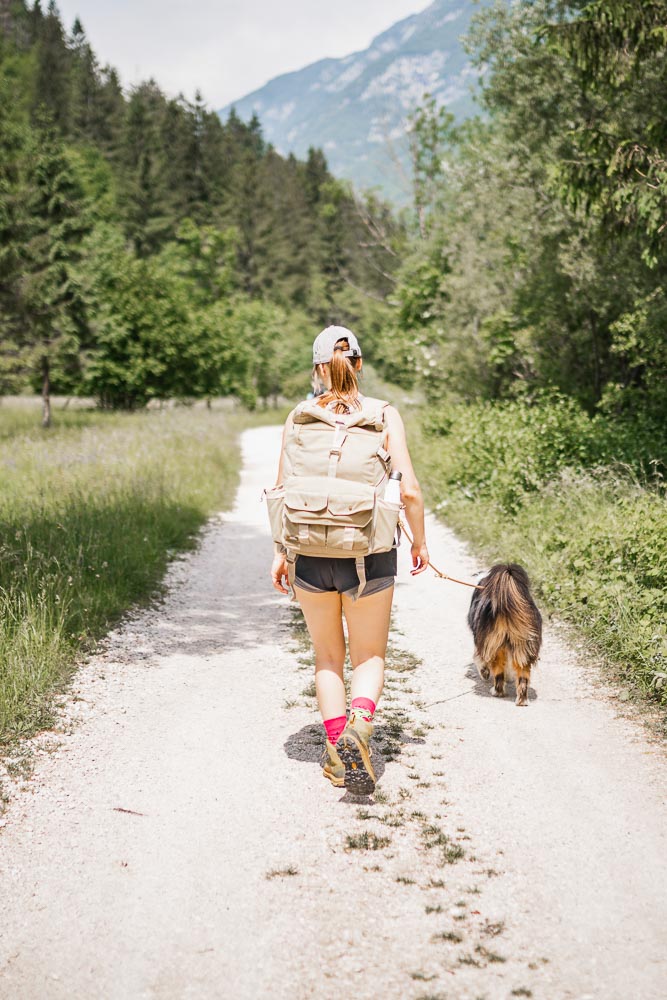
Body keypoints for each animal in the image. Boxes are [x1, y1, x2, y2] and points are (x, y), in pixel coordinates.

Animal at [470, 568, 544, 708]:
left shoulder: (481, 642)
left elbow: (479, 659)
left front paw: (484, 673)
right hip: (523, 645)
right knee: (523, 677)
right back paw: (522, 701)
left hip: (495, 645)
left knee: (498, 672)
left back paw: (496, 691)